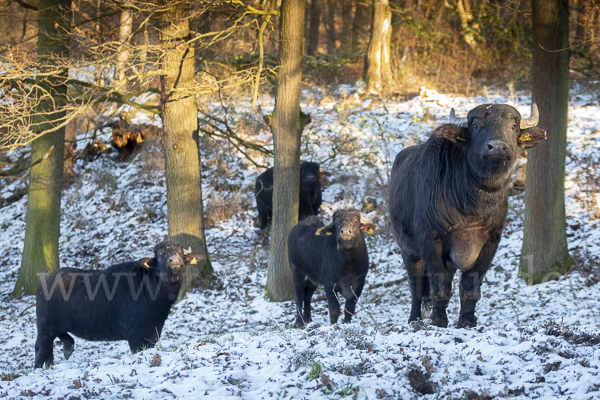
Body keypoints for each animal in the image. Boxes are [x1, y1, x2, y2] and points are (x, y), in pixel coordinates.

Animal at [34, 239, 205, 368]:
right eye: (160, 253)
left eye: (180, 252)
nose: (174, 261)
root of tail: (44, 280)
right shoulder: (136, 336)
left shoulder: (153, 333)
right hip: (45, 327)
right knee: (41, 349)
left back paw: (65, 350)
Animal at [390, 103, 548, 328]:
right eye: (475, 126)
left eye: (514, 127)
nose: (496, 147)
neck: (473, 206)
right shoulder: (431, 240)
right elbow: (439, 285)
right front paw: (439, 320)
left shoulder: (491, 242)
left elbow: (469, 286)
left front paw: (467, 321)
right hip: (407, 250)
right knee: (416, 286)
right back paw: (414, 319)